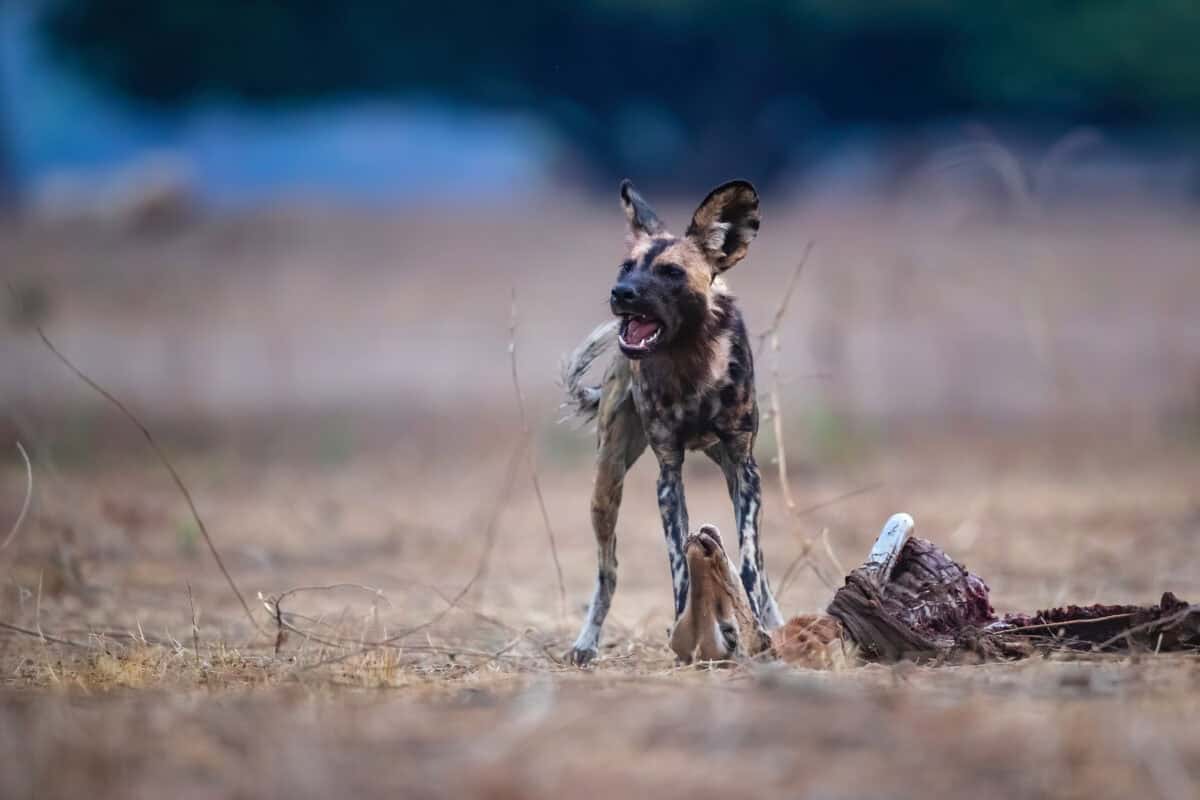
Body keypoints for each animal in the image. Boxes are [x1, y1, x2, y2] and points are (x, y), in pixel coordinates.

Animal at [561, 178, 787, 666]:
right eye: (626, 266)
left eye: (671, 273)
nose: (621, 293)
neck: (691, 363)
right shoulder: (669, 472)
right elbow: (680, 564)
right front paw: (689, 631)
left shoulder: (745, 469)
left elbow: (750, 563)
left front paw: (757, 630)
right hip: (605, 484)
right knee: (608, 571)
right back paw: (585, 644)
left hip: (730, 471)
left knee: (759, 568)